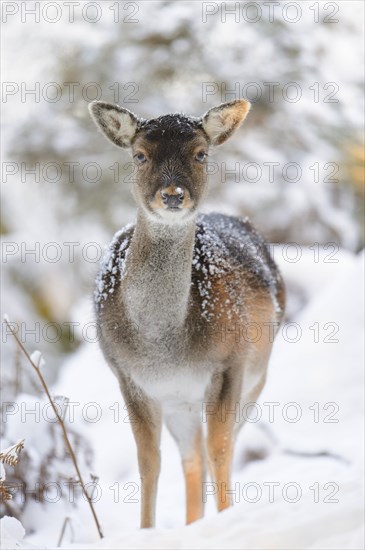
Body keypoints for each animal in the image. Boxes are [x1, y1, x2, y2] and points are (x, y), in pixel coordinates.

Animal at [88, 99, 284, 532]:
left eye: (201, 153)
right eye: (139, 155)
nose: (173, 195)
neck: (163, 345)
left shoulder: (229, 364)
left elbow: (221, 449)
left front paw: (227, 520)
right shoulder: (128, 376)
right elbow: (149, 462)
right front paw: (146, 531)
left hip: (255, 380)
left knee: (214, 450)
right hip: (182, 403)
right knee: (190, 459)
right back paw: (192, 525)